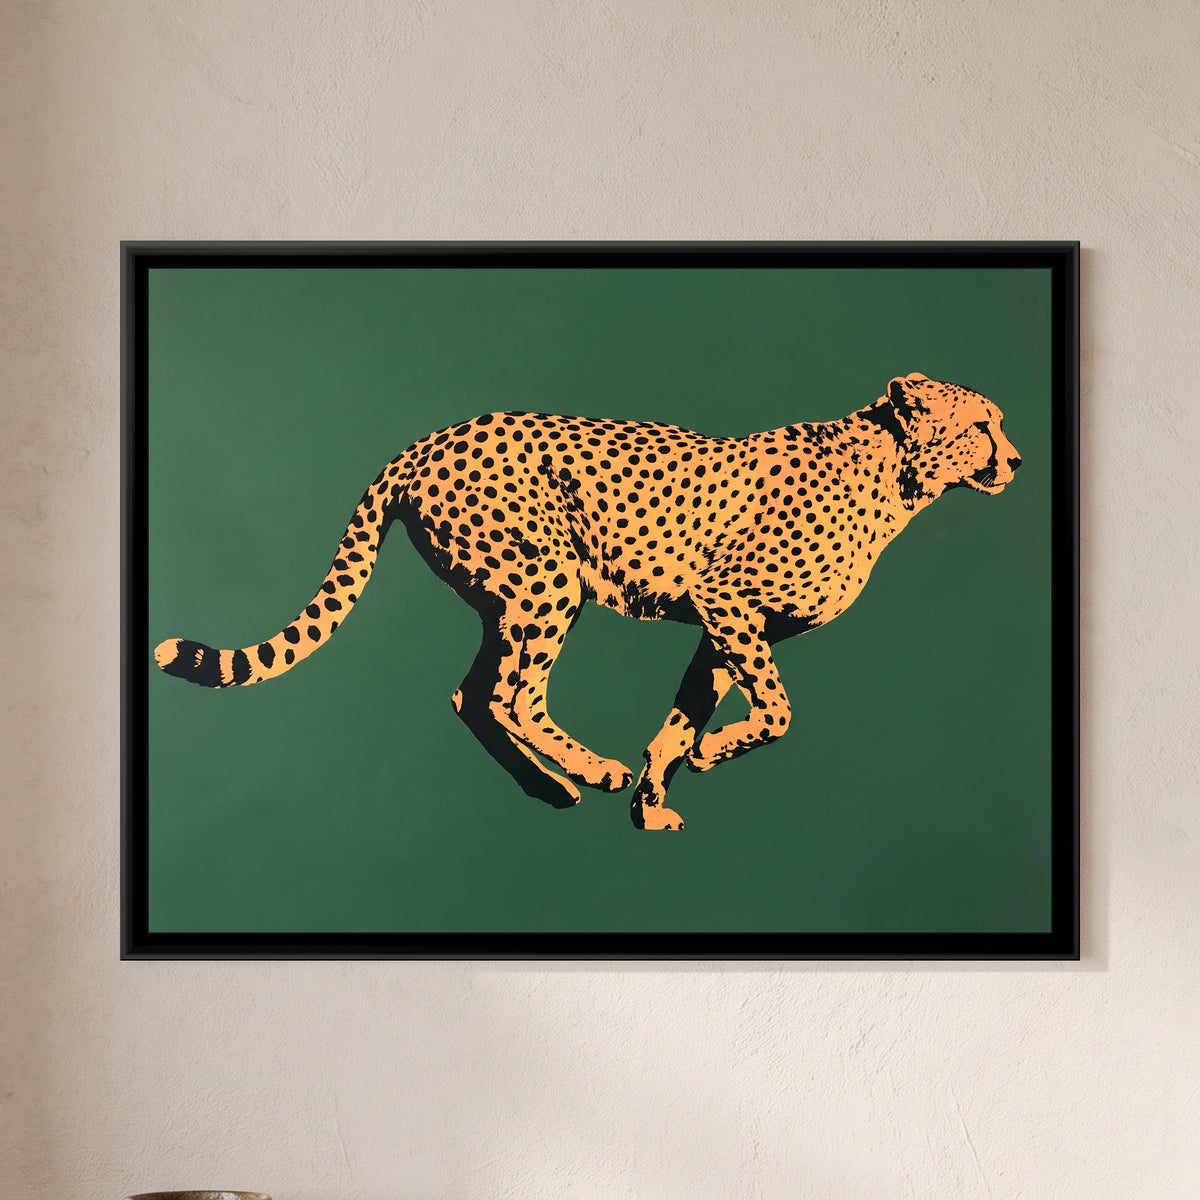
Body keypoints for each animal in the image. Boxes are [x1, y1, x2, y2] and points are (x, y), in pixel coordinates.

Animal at [155, 372, 1020, 830]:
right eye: (982, 424)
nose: (1014, 460)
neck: (896, 478)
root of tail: (429, 440)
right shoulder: (727, 602)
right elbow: (775, 712)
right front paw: (704, 757)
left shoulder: (720, 625)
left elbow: (682, 717)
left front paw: (655, 799)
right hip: (548, 580)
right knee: (512, 696)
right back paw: (589, 769)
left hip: (510, 598)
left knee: (474, 694)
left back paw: (552, 785)